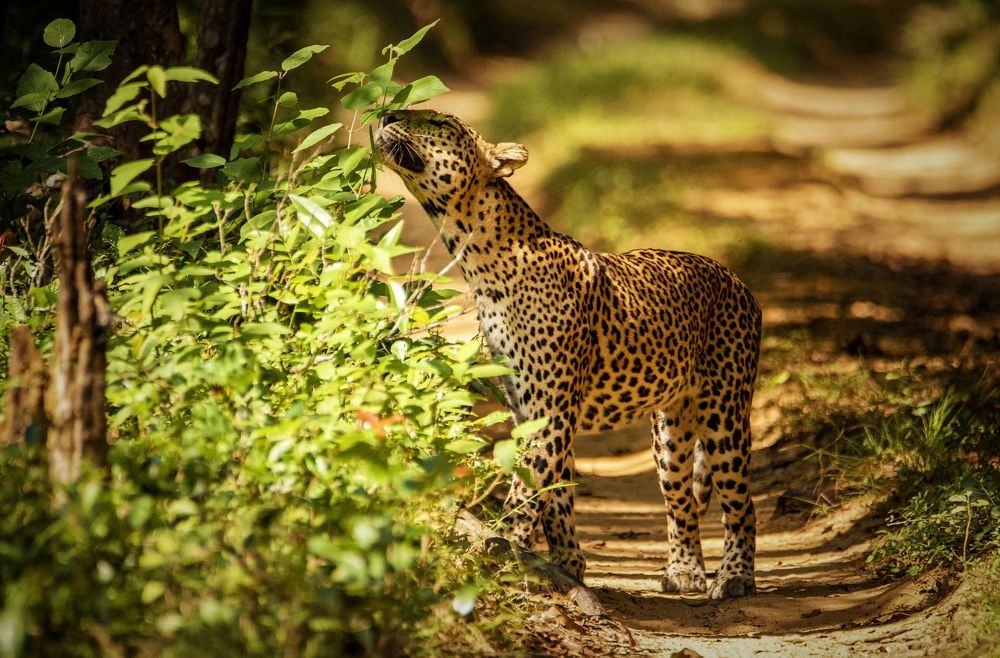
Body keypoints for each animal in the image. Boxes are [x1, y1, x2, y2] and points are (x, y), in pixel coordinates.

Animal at [375, 109, 761, 599]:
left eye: (442, 123)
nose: (386, 113)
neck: (477, 260)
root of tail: (737, 280)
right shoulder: (527, 409)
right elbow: (556, 494)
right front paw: (566, 565)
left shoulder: (550, 411)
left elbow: (525, 492)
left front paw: (494, 555)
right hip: (670, 434)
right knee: (681, 502)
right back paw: (684, 572)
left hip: (725, 415)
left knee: (741, 505)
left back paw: (735, 578)